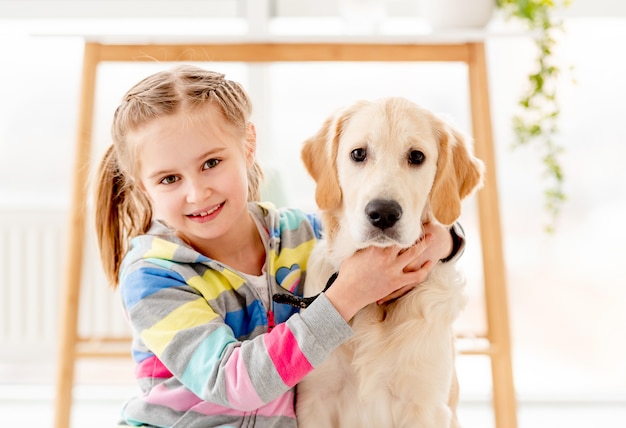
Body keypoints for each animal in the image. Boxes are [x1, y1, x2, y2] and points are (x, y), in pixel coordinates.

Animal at [296, 97, 482, 428]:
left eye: (417, 156)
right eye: (358, 154)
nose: (383, 213)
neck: (374, 303)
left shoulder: (424, 406)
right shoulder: (315, 400)